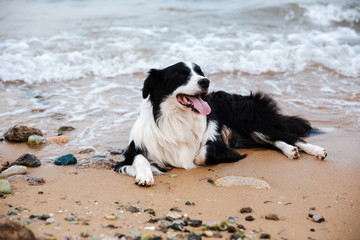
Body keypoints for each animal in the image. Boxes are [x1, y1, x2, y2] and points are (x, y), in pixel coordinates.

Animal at [114, 61, 328, 186]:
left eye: (200, 72)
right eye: (182, 75)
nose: (206, 81)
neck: (177, 118)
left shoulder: (217, 145)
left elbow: (201, 154)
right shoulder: (133, 151)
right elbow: (140, 158)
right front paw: (145, 175)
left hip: (253, 123)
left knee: (288, 135)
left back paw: (315, 150)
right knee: (275, 141)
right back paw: (290, 150)